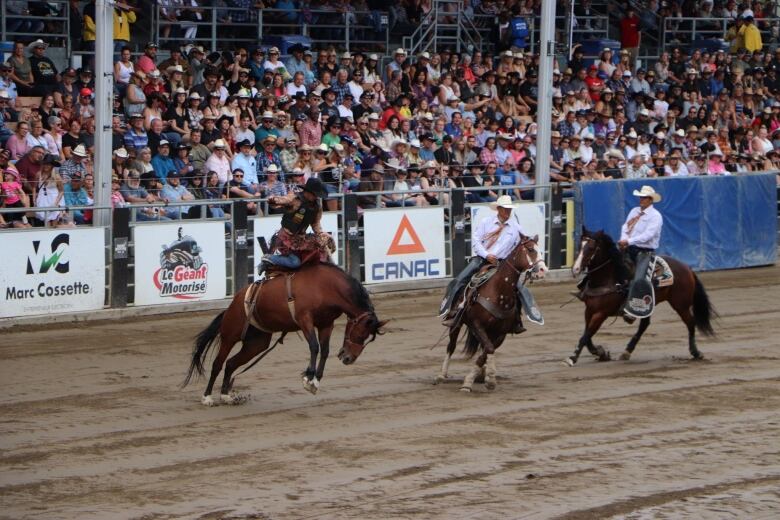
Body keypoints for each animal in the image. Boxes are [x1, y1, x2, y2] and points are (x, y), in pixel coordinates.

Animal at [184, 264, 390, 406]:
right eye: (360, 331)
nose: (348, 358)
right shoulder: (305, 319)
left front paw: (315, 381)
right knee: (218, 364)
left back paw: (226, 395)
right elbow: (314, 346)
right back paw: (207, 397)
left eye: (368, 338)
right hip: (230, 335)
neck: (326, 286)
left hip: (257, 343)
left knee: (231, 363)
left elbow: (324, 350)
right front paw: (308, 377)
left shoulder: (326, 324)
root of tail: (233, 304)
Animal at [436, 238, 544, 392]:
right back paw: (442, 375)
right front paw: (473, 382)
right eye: (530, 249)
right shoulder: (476, 325)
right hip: (456, 324)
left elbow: (487, 351)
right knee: (451, 346)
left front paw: (485, 378)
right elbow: (487, 349)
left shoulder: (500, 333)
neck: (499, 291)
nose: (542, 270)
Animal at [564, 228, 716, 366]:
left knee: (691, 323)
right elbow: (587, 335)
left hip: (681, 304)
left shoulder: (601, 313)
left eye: (591, 248)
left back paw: (695, 352)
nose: (575, 269)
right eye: (580, 246)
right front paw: (600, 353)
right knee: (644, 325)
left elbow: (586, 335)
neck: (609, 278)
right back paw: (627, 351)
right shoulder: (589, 310)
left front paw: (572, 358)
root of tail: (687, 268)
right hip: (649, 305)